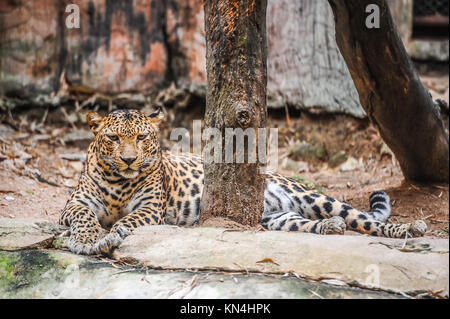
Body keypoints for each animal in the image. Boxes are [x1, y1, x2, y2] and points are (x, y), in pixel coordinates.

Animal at [60, 109, 428, 256]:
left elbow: (126, 220)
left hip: (314, 197)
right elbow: (85, 216)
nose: (129, 159)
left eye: (141, 138)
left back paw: (410, 228)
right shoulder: (73, 204)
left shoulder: (150, 209)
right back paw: (329, 227)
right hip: (280, 219)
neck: (119, 179)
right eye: (112, 138)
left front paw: (109, 234)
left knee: (364, 219)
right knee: (309, 224)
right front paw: (89, 239)